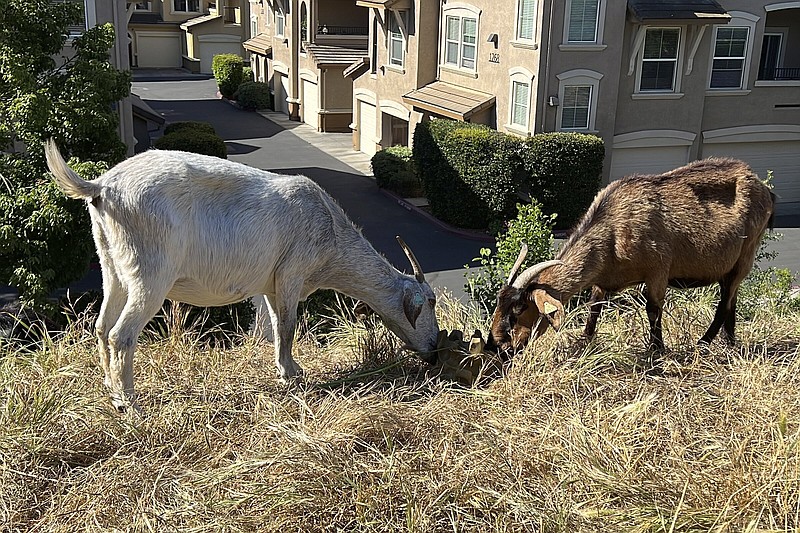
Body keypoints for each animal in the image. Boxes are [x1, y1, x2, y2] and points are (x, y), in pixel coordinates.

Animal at [47, 139, 440, 410]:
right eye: (430, 303)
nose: (434, 351)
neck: (330, 230)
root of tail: (103, 187)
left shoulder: (270, 283)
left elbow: (273, 326)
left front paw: (284, 367)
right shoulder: (292, 273)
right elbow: (288, 326)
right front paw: (292, 375)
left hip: (112, 264)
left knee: (101, 326)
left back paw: (108, 387)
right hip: (150, 270)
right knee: (121, 334)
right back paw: (128, 402)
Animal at [490, 157, 772, 358]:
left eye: (518, 310)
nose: (499, 345)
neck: (612, 230)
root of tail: (765, 189)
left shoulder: (658, 270)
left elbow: (653, 309)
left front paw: (657, 350)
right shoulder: (603, 280)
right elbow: (594, 308)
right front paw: (584, 342)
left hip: (746, 255)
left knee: (724, 304)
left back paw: (702, 344)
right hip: (730, 267)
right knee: (731, 301)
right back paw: (730, 342)